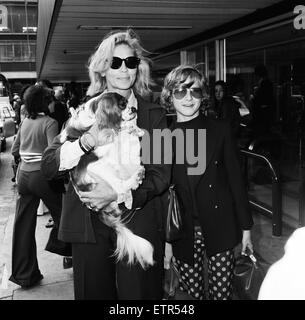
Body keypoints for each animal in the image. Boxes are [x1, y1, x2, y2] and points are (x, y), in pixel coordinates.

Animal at [60, 92, 153, 268]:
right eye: (122, 104)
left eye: (128, 102)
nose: (134, 108)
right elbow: (113, 133)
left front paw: (134, 129)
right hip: (98, 169)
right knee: (120, 187)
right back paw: (136, 178)